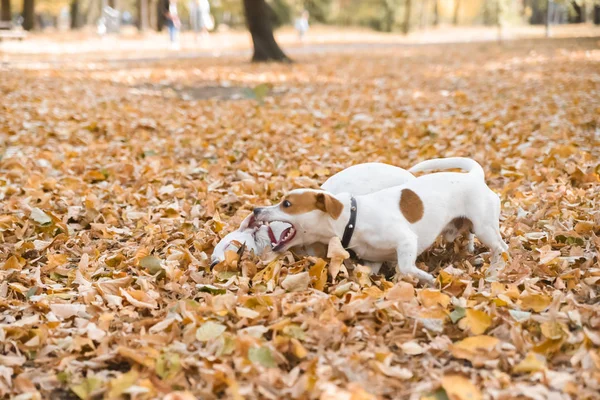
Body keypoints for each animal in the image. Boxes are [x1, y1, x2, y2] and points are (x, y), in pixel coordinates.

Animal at [251, 156, 508, 282]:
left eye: (286, 204)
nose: (255, 210)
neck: (352, 219)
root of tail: (474, 176)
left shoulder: (406, 240)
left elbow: (407, 266)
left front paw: (427, 279)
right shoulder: (372, 261)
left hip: (485, 227)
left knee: (501, 247)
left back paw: (495, 270)